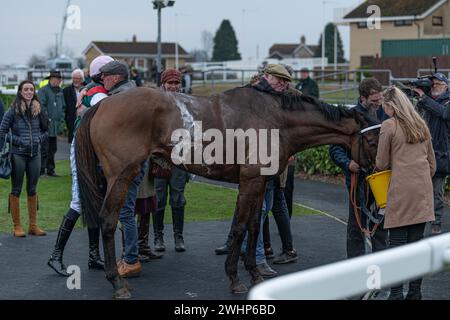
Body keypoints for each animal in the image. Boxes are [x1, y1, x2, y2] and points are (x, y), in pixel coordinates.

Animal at [75, 85, 378, 298]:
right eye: (373, 139)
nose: (375, 170)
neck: (274, 119)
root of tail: (103, 105)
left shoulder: (261, 182)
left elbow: (254, 227)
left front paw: (254, 273)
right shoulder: (250, 181)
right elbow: (239, 227)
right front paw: (234, 279)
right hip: (121, 176)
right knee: (107, 220)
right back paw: (117, 282)